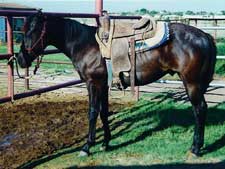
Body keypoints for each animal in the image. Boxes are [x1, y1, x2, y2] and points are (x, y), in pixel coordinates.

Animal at [15, 11, 216, 157]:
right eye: (23, 30)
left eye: (33, 30)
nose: (20, 59)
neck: (84, 44)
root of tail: (205, 36)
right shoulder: (104, 85)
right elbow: (104, 113)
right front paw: (106, 143)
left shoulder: (93, 83)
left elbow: (92, 112)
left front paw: (87, 147)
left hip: (191, 83)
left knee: (199, 109)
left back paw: (195, 148)